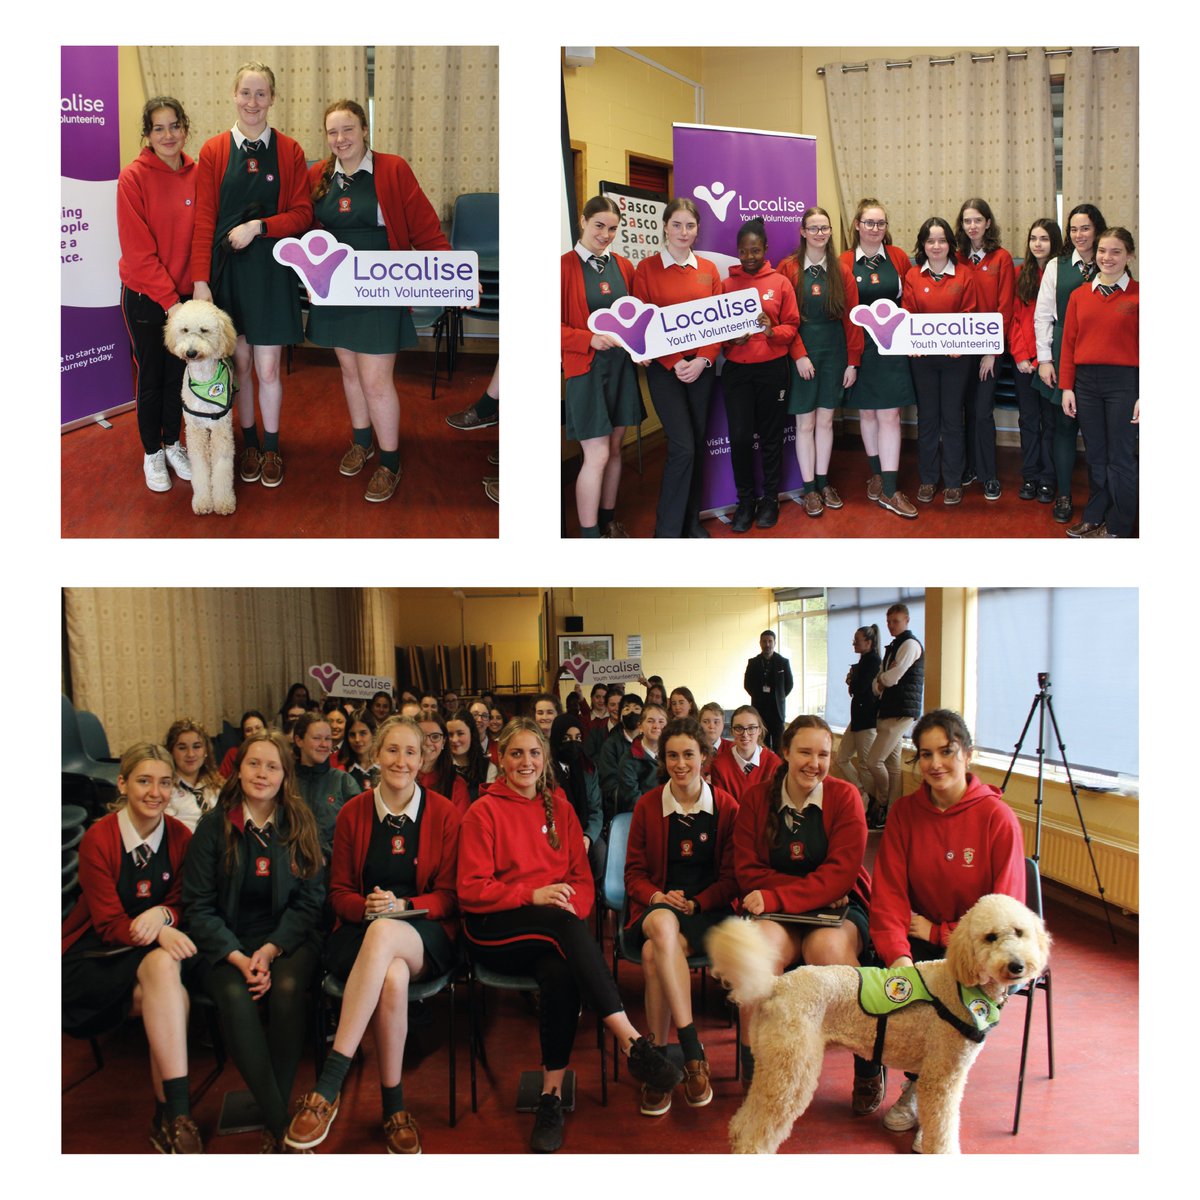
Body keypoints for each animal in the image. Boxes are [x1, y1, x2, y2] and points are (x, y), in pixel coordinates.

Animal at [164, 300, 238, 516]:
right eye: (184, 330)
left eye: (204, 330)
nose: (191, 352)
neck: (205, 381)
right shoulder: (195, 431)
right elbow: (200, 468)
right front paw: (203, 501)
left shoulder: (221, 429)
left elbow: (222, 466)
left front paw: (223, 502)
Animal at [705, 892, 1046, 1152]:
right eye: (989, 937)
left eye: (1019, 932)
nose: (1016, 966)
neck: (960, 984)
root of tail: (777, 984)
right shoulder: (942, 1078)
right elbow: (943, 1129)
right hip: (793, 1072)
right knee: (758, 1133)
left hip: (774, 1066)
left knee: (746, 1118)